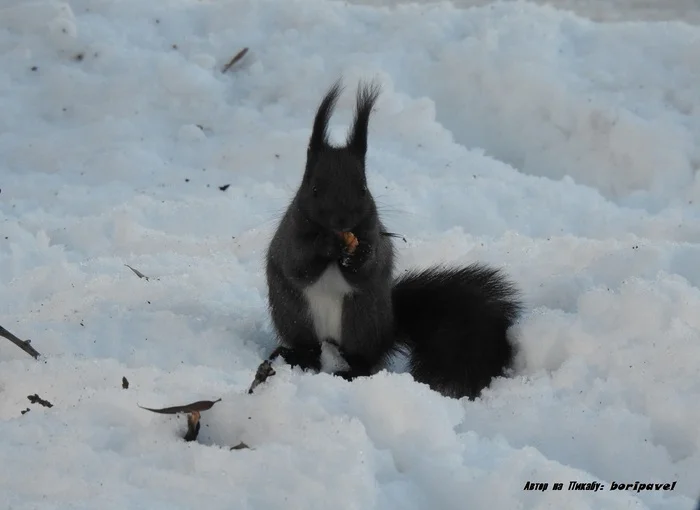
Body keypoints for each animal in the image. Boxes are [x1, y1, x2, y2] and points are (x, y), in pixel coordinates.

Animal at [264, 80, 523, 399]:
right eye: (313, 189)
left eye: (363, 188)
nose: (342, 220)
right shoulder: (291, 236)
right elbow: (298, 265)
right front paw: (325, 246)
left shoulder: (373, 234)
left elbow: (368, 268)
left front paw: (358, 255)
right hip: (297, 319)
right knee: (308, 348)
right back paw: (296, 356)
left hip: (361, 322)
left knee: (364, 360)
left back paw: (351, 371)